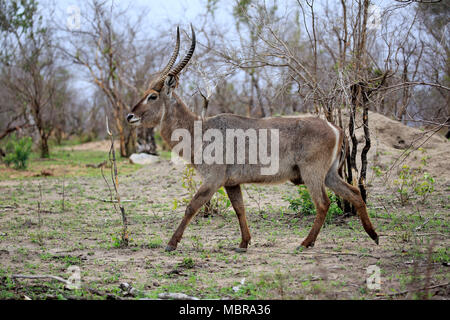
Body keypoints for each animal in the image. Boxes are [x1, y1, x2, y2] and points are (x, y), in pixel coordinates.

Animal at [127, 25, 380, 252]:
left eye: (152, 96)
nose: (130, 116)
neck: (199, 128)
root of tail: (334, 127)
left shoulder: (213, 179)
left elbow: (192, 206)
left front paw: (171, 244)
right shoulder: (231, 183)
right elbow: (240, 209)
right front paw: (243, 243)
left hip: (313, 173)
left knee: (323, 204)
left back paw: (305, 243)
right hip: (329, 174)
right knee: (354, 193)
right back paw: (373, 235)